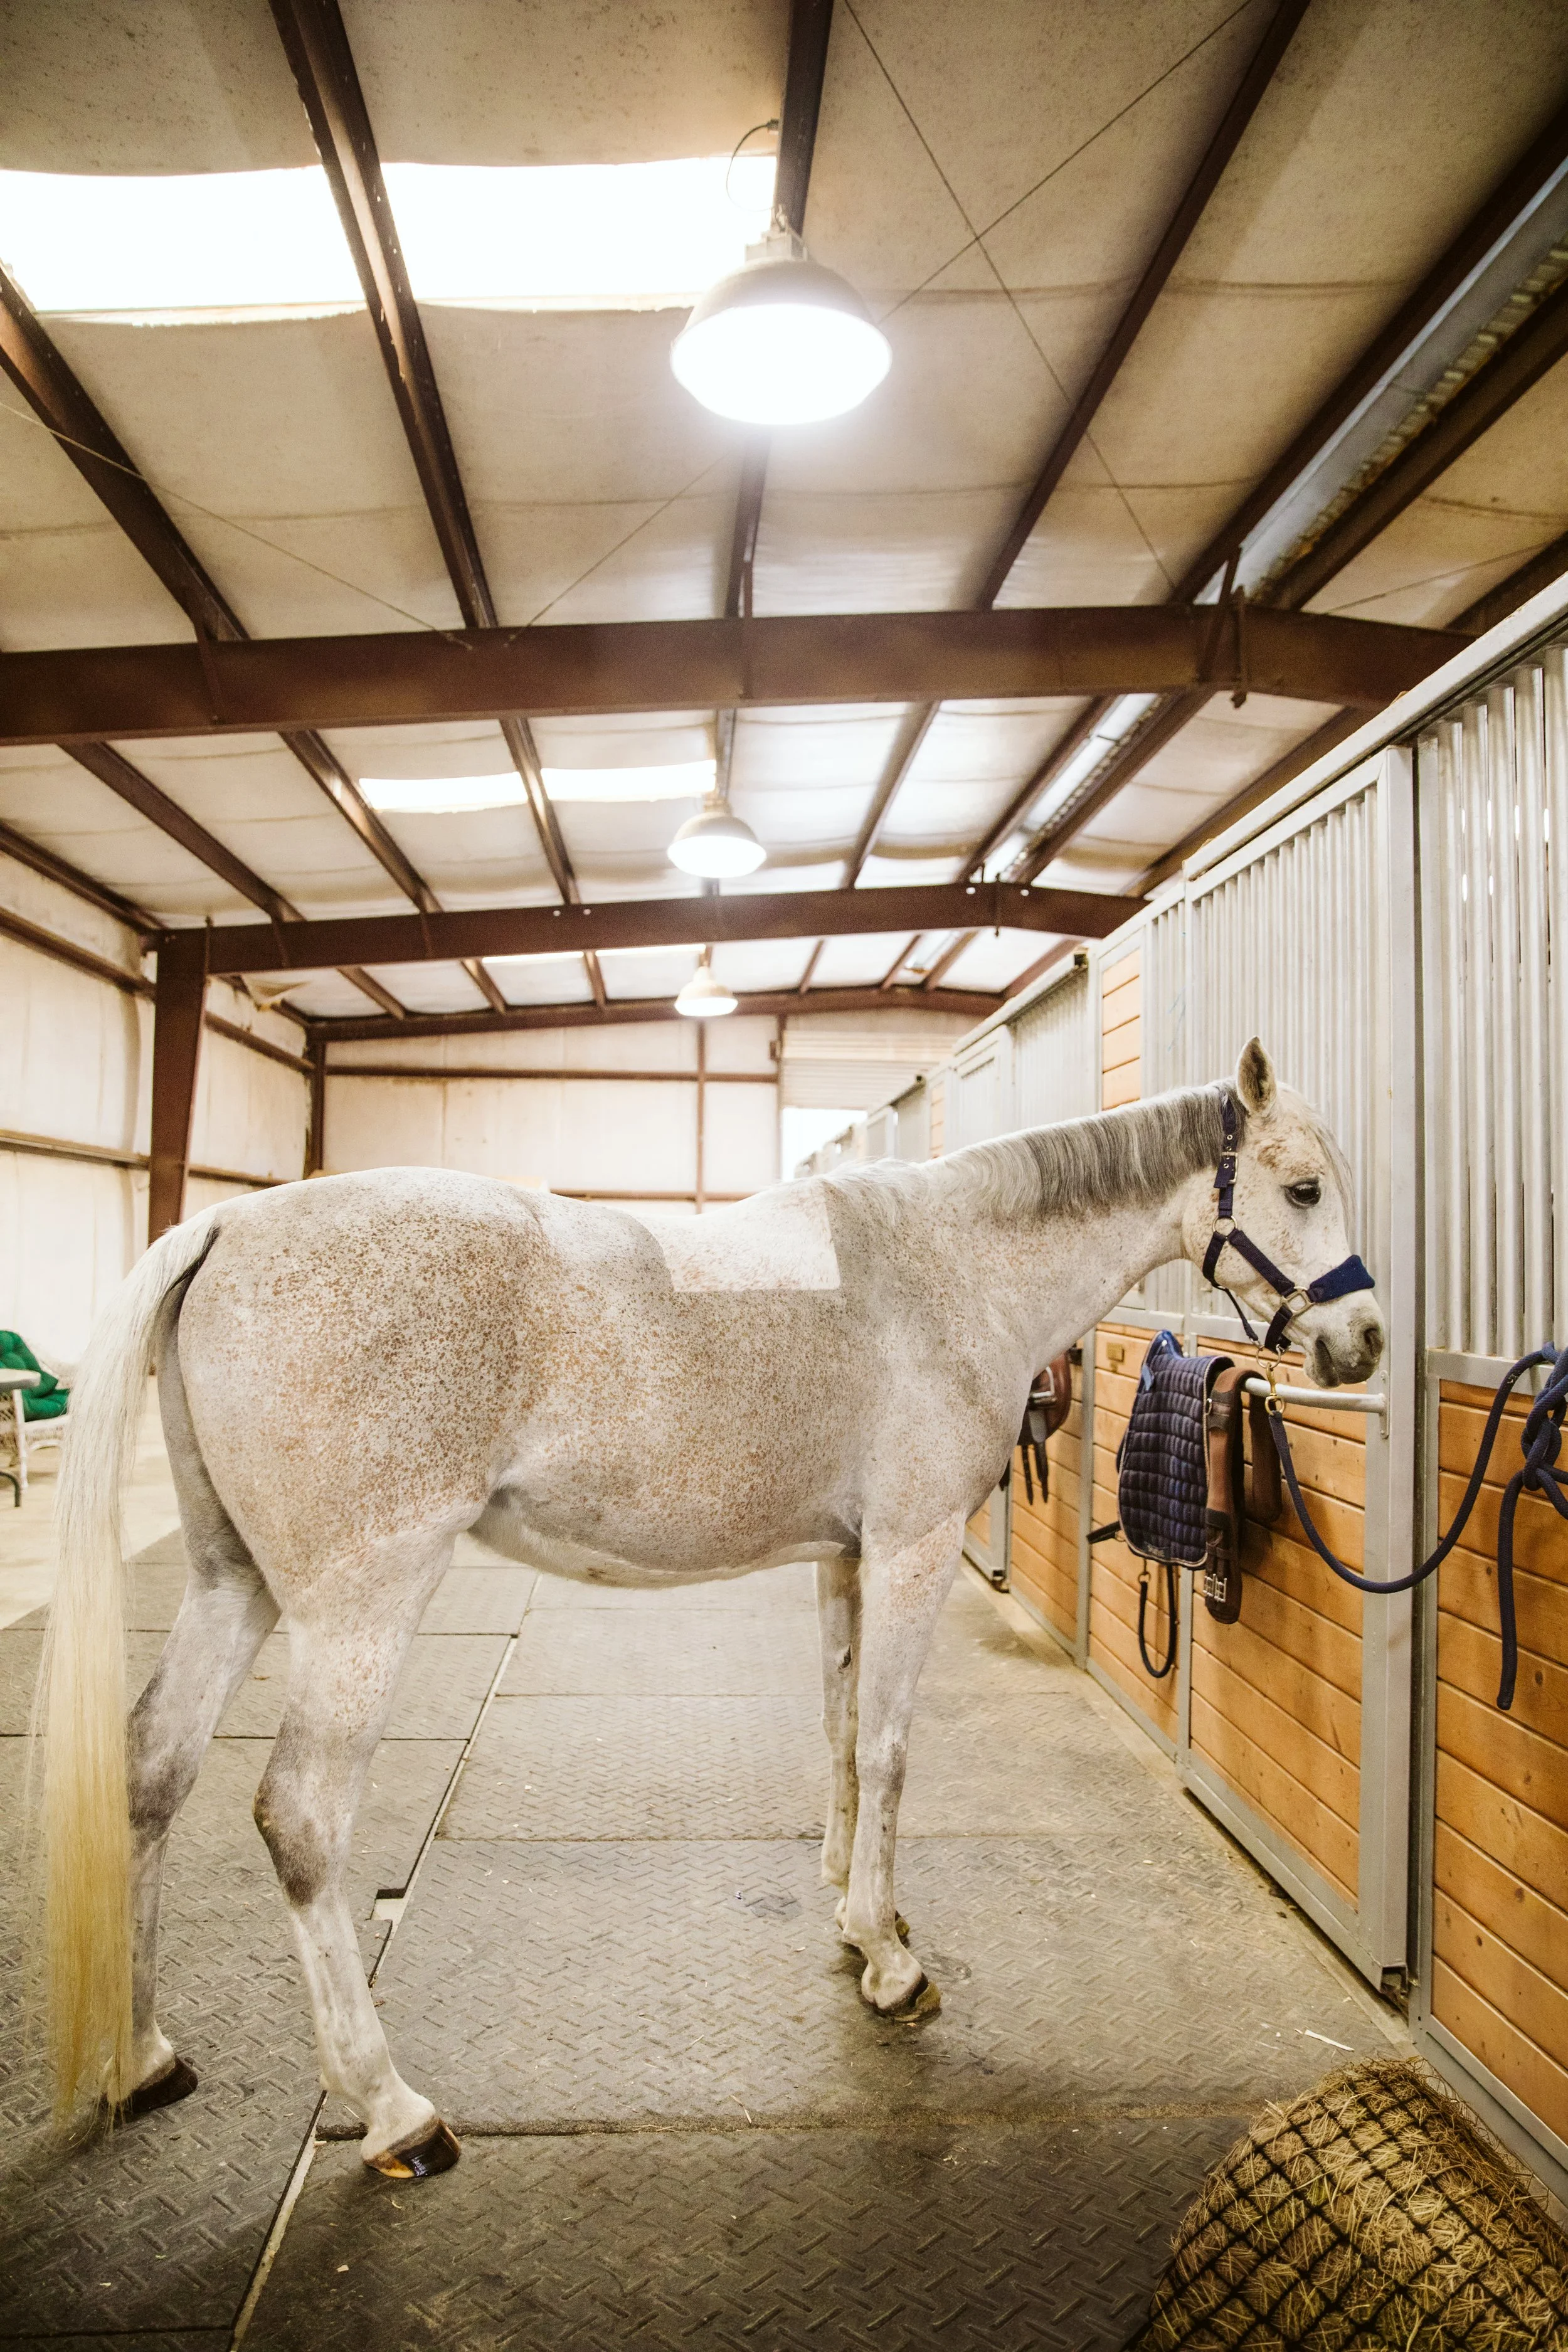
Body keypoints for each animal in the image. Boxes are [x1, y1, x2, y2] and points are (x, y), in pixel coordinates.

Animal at [36, 1039, 1383, 2180]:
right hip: (359, 1608)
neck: (951, 1271)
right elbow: (889, 1749)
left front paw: (853, 1912)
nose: (1361, 1341)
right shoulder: (911, 1550)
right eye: (1303, 1188)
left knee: (153, 1768)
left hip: (237, 1586)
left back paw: (147, 2056)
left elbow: (841, 1732)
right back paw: (394, 2111)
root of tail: (227, 1220)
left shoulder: (845, 1560)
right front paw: (890, 1963)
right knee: (301, 1817)